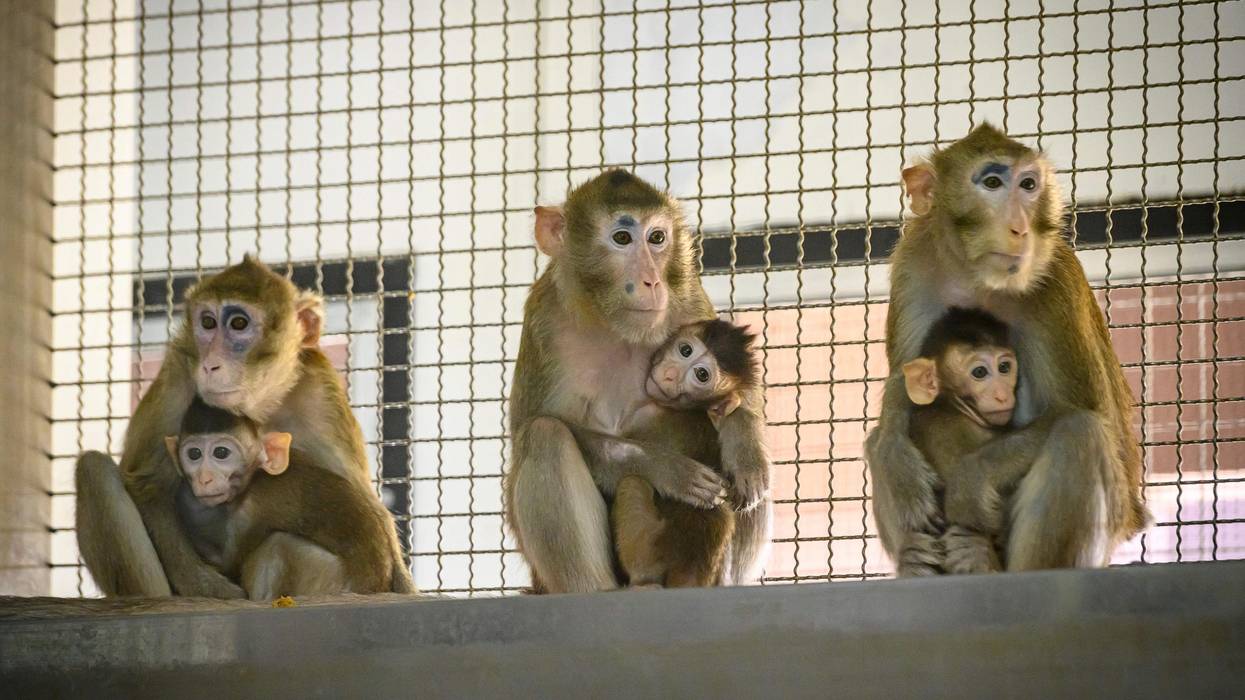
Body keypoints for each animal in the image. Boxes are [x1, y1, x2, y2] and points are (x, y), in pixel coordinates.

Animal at [166, 397, 399, 599]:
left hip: (327, 580)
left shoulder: (254, 506)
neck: (257, 475)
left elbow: (229, 564)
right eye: (194, 454)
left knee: (278, 544)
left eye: (221, 453)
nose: (204, 478)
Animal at [610, 318, 759, 587]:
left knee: (633, 483)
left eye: (702, 375)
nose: (670, 373)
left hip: (645, 551)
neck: (689, 410)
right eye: (686, 350)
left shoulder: (643, 415)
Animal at [864, 123, 1149, 577]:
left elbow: (1096, 418)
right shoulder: (914, 264)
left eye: (1029, 185)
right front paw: (895, 459)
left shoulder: (1056, 283)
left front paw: (971, 478)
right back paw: (914, 560)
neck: (978, 280)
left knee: (1080, 432)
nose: (1020, 228)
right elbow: (903, 391)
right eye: (993, 183)